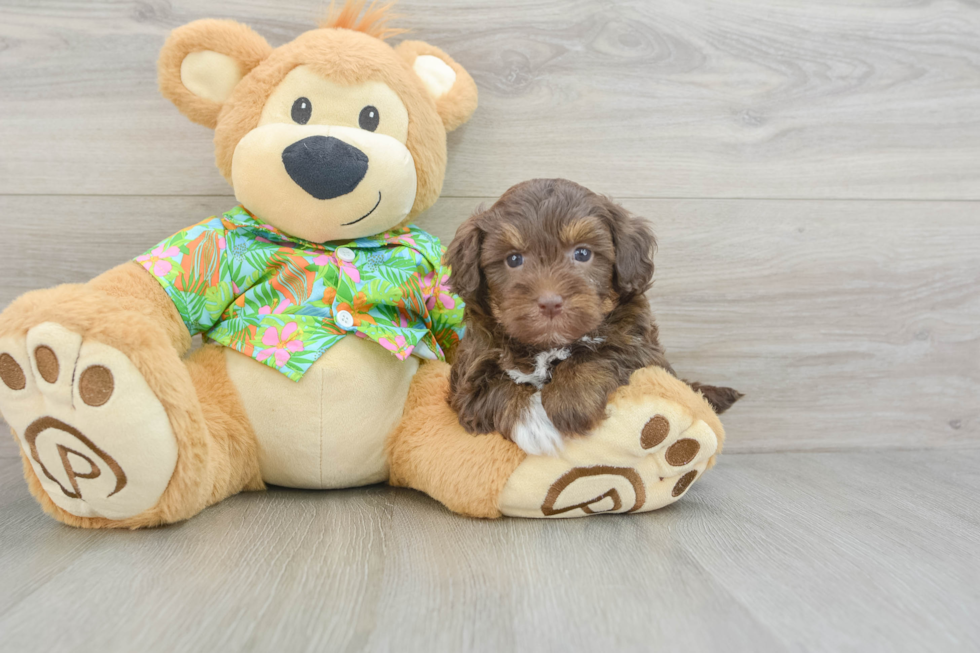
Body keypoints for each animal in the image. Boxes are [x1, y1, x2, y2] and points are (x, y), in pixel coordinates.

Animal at [446, 178, 744, 454]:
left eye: (582, 253)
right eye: (513, 259)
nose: (550, 302)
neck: (548, 346)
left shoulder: (641, 345)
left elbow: (602, 352)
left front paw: (570, 399)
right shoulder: (469, 371)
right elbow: (494, 388)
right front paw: (536, 426)